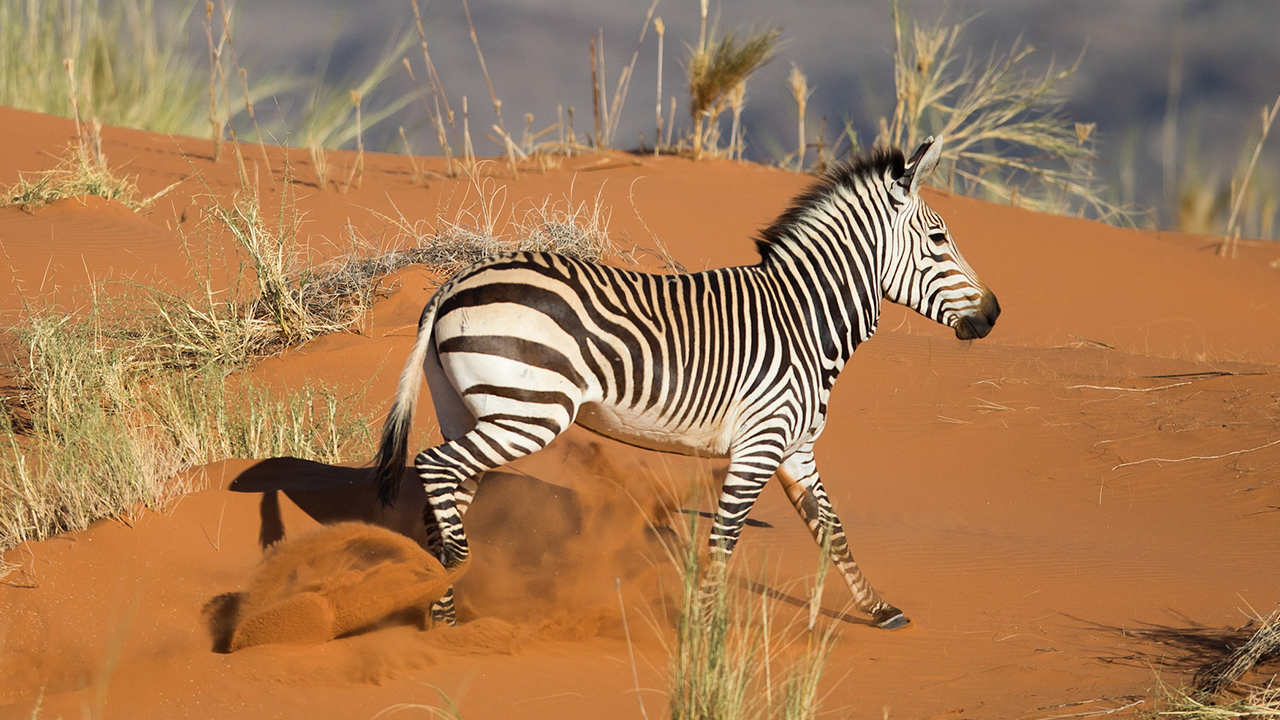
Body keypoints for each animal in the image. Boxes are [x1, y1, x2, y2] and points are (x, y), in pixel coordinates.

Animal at [373, 136, 1000, 629]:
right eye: (939, 240)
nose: (994, 314)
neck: (804, 318)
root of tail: (452, 283)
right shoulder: (760, 444)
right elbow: (724, 538)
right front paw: (706, 632)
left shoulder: (795, 447)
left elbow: (832, 529)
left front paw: (879, 609)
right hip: (529, 412)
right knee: (433, 468)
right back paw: (454, 586)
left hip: (474, 411)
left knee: (442, 499)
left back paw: (440, 609)